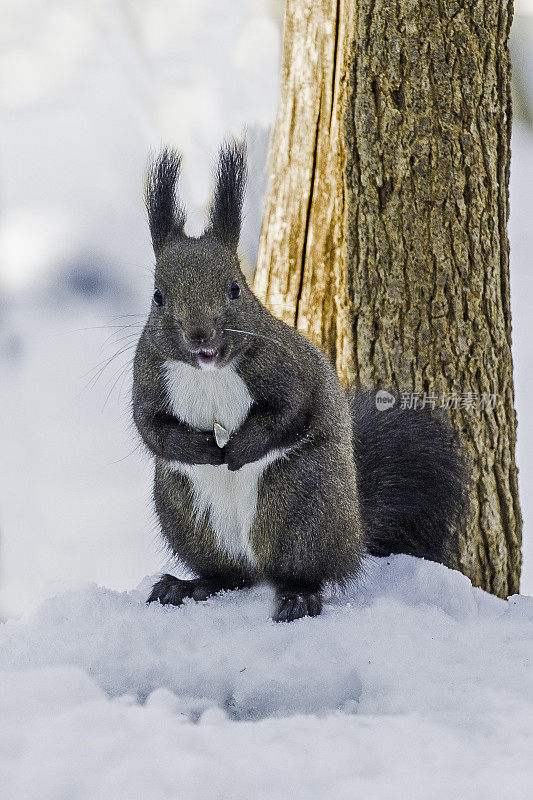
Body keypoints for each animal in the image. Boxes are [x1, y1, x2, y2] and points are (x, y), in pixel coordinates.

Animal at [132, 141, 466, 620]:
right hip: (188, 517)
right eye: (158, 297)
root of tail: (355, 534)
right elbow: (150, 428)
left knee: (309, 570)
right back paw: (186, 585)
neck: (209, 373)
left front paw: (238, 450)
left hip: (301, 507)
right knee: (228, 575)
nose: (200, 336)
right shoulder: (148, 378)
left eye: (236, 288)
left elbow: (291, 410)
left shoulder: (288, 368)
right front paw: (203, 450)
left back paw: (298, 596)